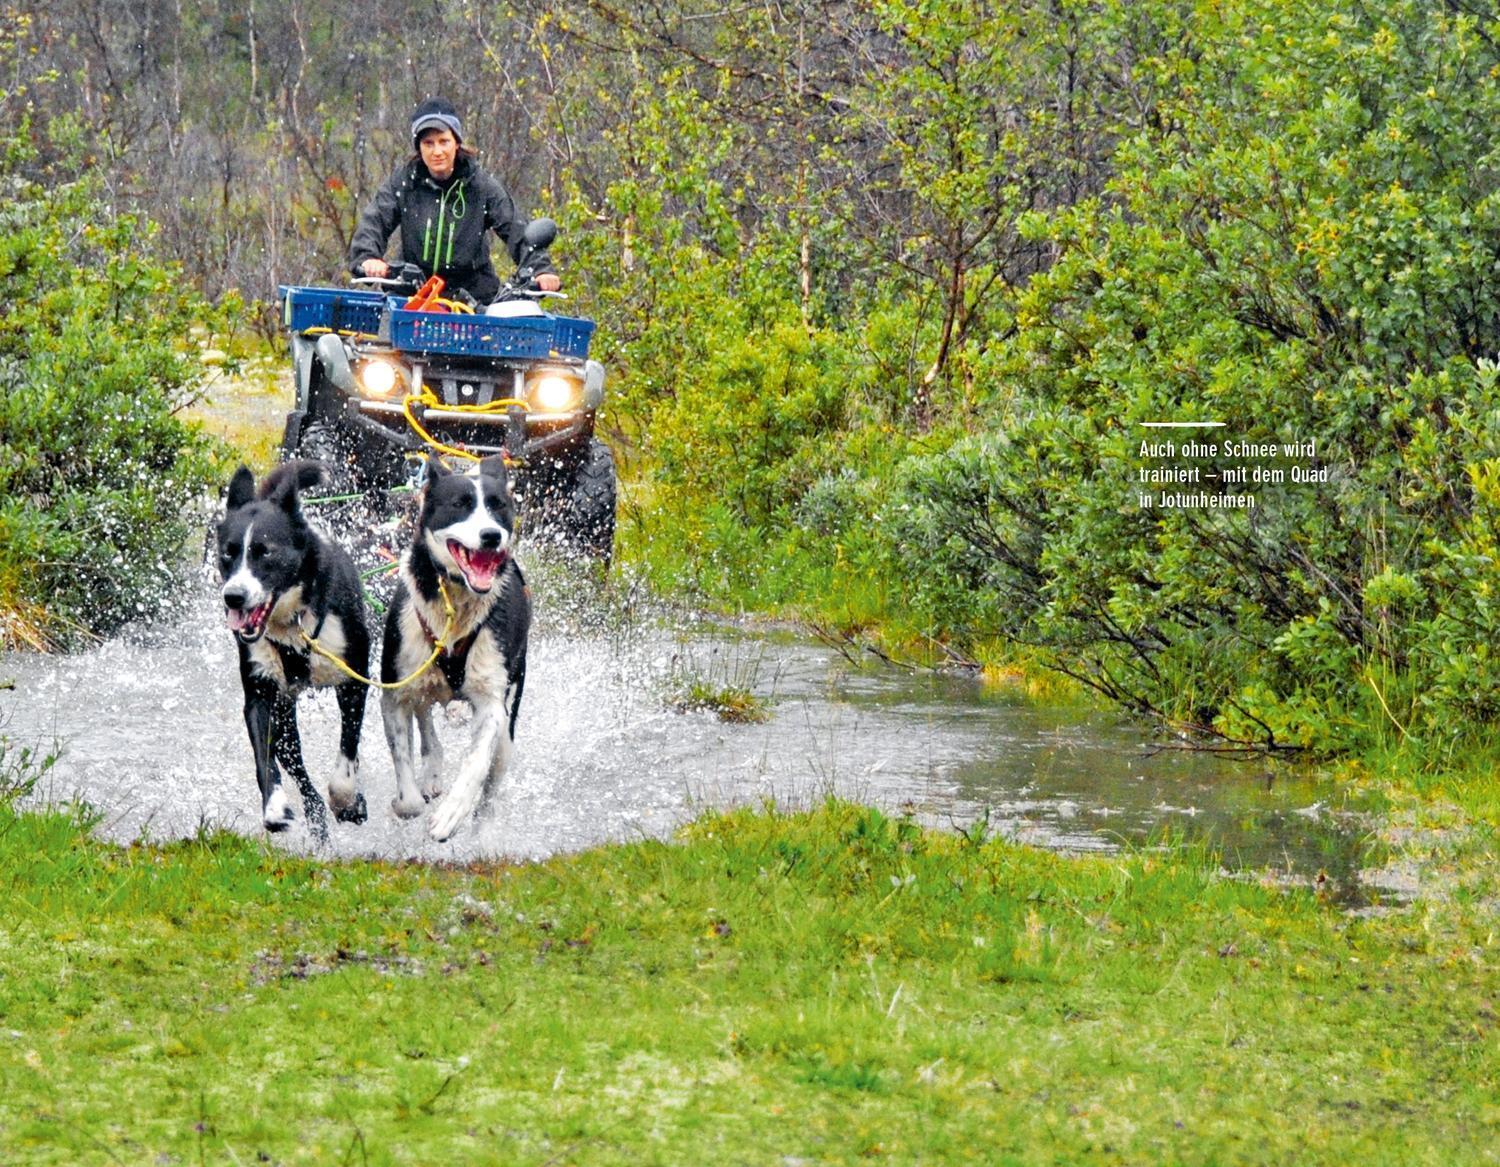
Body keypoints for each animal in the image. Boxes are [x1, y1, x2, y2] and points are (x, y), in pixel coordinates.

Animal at [214, 462, 369, 834]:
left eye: (264, 551)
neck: (292, 623)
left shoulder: (355, 680)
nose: (233, 597)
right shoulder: (260, 694)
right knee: (300, 775)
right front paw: (274, 807)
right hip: (285, 716)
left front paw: (346, 800)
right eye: (228, 552)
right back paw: (316, 820)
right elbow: (264, 761)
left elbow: (347, 750)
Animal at [381, 450, 534, 840]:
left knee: (490, 788)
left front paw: (451, 812)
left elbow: (475, 766)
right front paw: (408, 801)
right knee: (426, 723)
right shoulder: (395, 692)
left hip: (508, 729)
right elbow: (407, 791)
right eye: (460, 504)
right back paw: (432, 772)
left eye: (498, 506)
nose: (491, 535)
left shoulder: (491, 705)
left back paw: (481, 831)